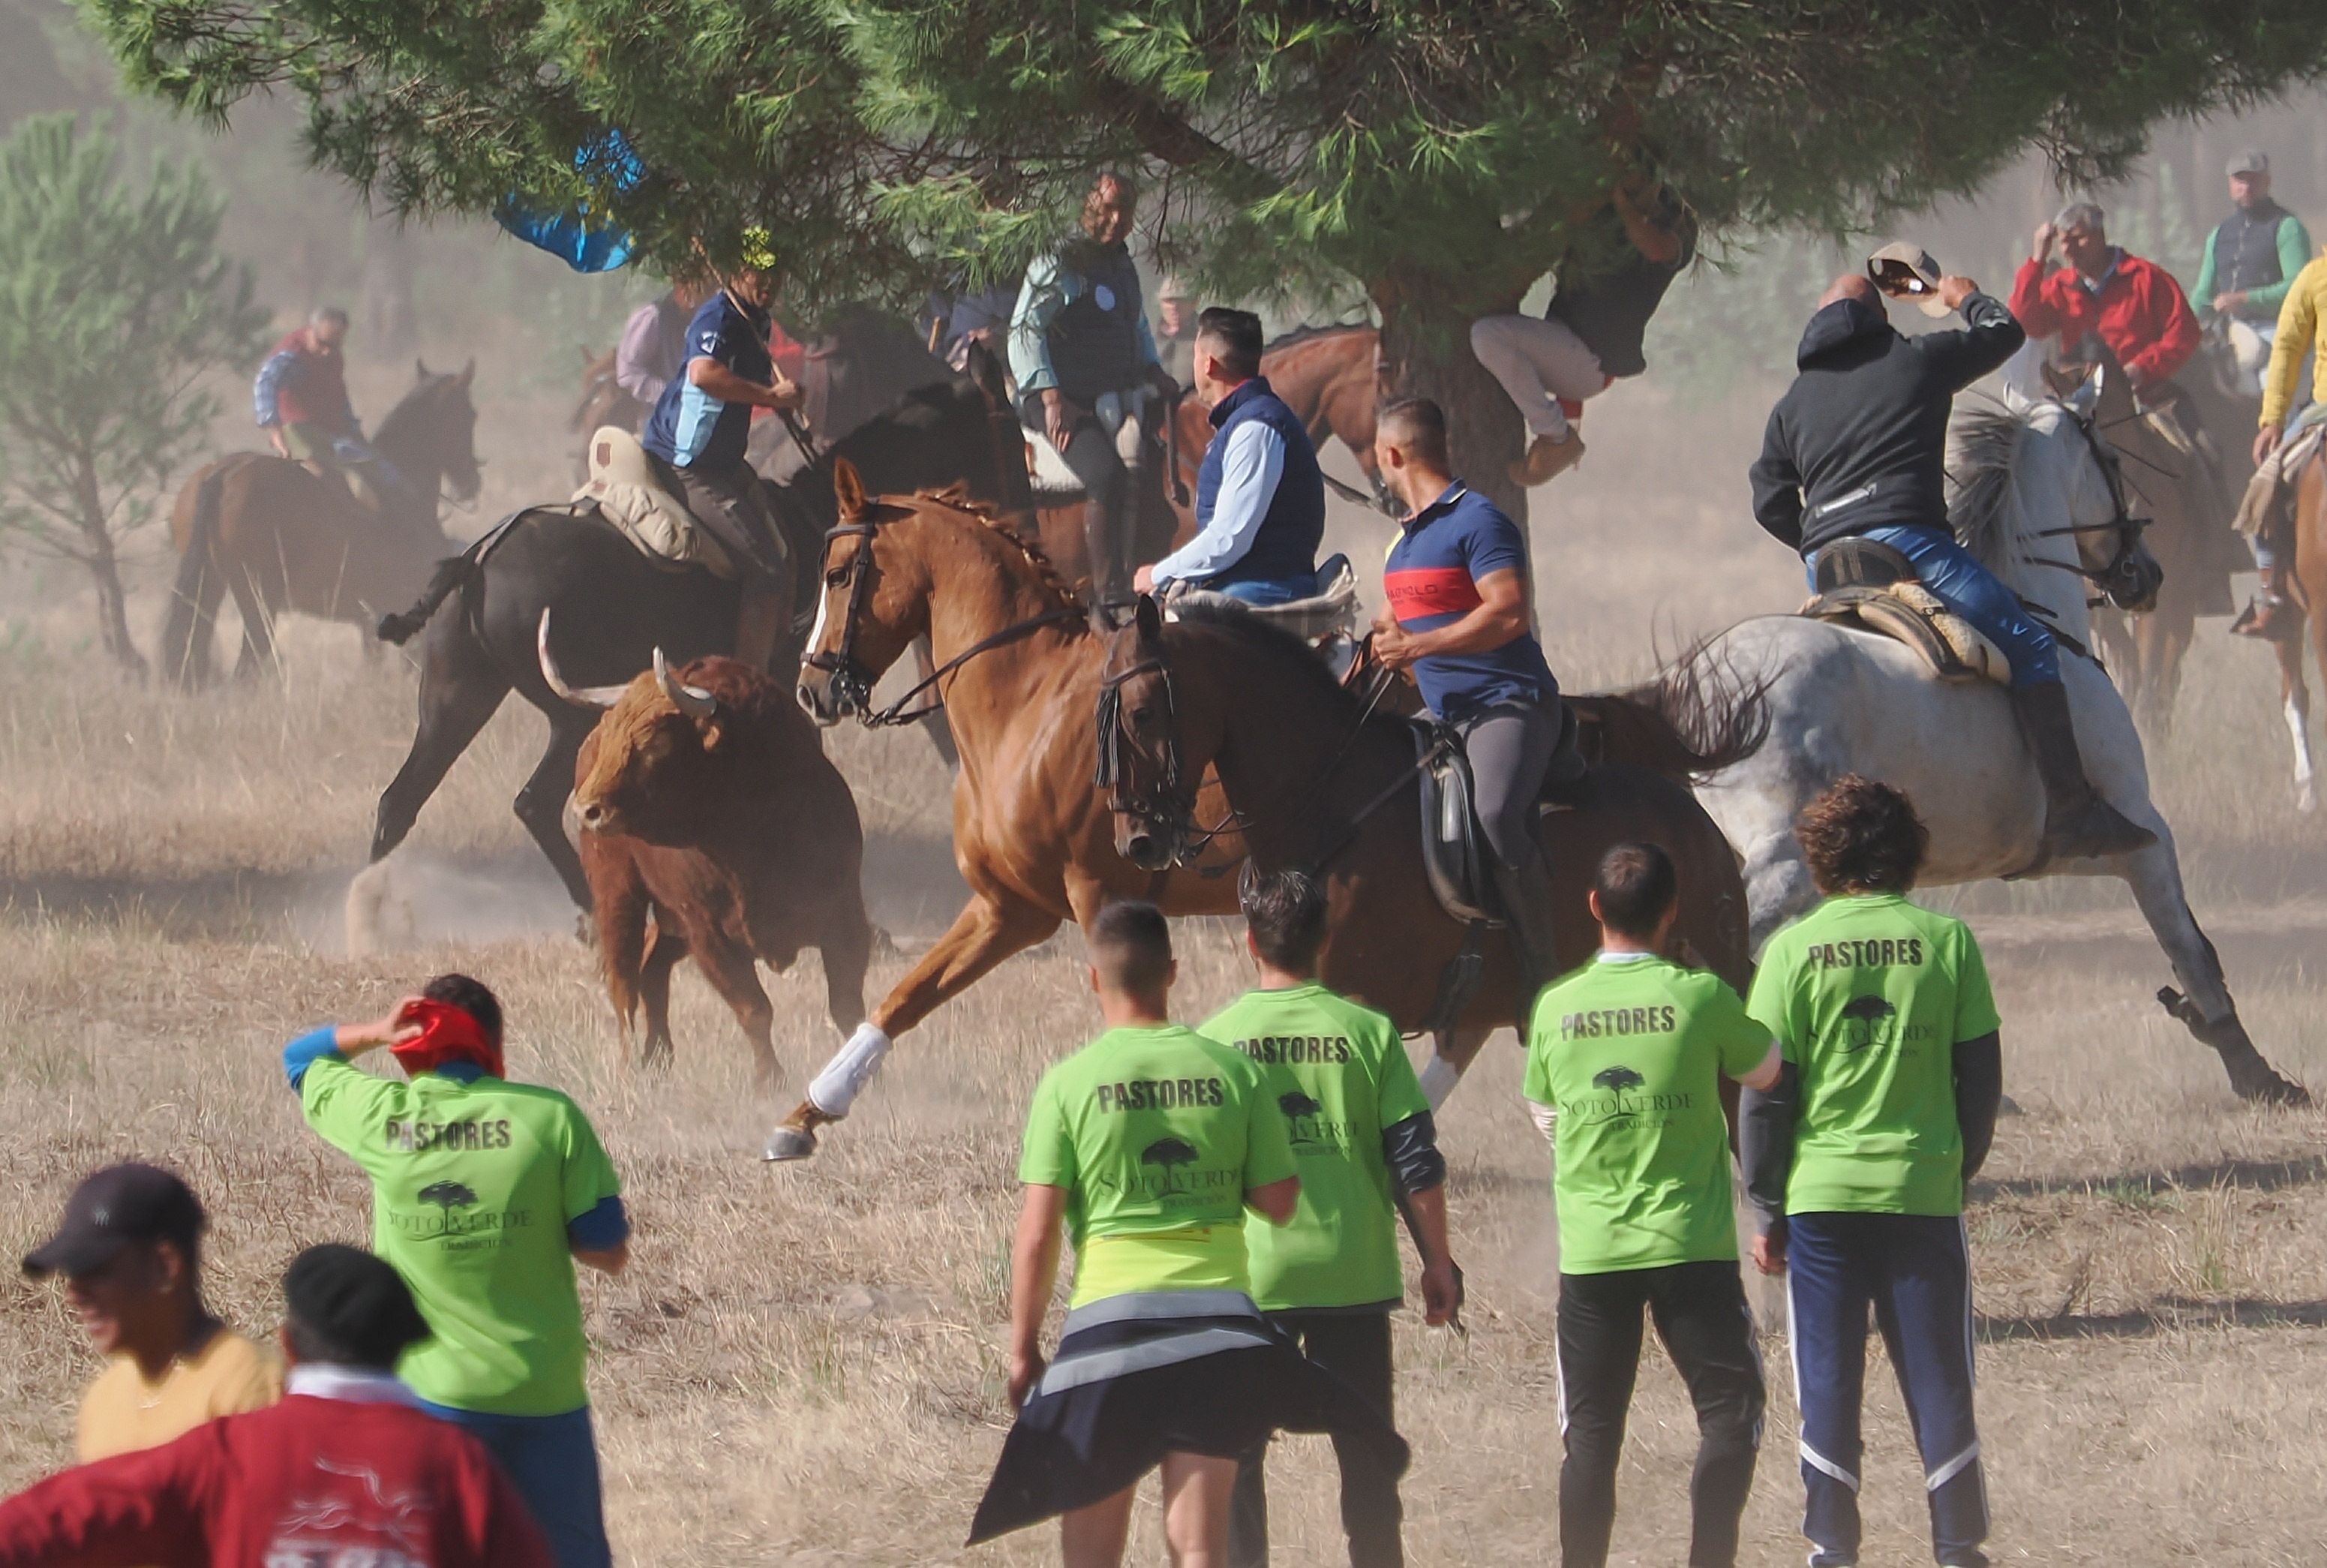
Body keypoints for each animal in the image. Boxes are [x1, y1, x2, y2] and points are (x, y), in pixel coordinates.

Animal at [159, 370, 482, 688]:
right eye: (469, 415)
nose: (472, 483)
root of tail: (223, 473)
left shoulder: (370, 620)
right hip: (259, 599)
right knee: (247, 665)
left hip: (211, 589)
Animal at [549, 628, 875, 1079]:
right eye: (614, 731)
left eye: (656, 741)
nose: (587, 809)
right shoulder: (708, 935)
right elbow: (754, 1009)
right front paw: (769, 1081)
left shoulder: (845, 917)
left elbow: (847, 1006)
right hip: (618, 893)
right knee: (624, 978)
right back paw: (632, 1064)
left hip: (669, 922)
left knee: (651, 969)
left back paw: (659, 1056)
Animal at [772, 470, 1749, 1154]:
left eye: (839, 570)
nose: (813, 689)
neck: (1030, 701)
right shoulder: (1011, 906)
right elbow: (905, 994)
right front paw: (807, 1112)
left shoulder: (1092, 895)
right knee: (1468, 1017)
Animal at [1694, 374, 2308, 1098]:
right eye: (2114, 461)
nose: (2146, 574)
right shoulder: (2140, 828)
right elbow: (2188, 944)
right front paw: (2254, 1072)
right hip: (1783, 866)